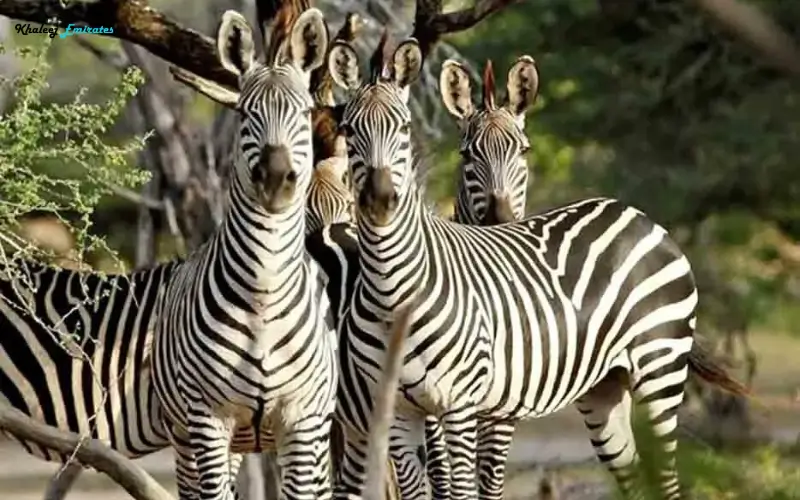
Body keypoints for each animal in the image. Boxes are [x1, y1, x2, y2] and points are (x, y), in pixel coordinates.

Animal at [151, 8, 338, 500]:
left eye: (305, 112)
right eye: (244, 114)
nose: (275, 178)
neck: (263, 293)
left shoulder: (301, 421)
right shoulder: (208, 420)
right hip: (189, 438)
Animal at [326, 37, 749, 500]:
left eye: (403, 129)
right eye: (348, 131)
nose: (381, 200)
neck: (393, 289)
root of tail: (638, 215)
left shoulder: (465, 406)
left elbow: (471, 487)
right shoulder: (401, 410)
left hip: (660, 369)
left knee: (668, 480)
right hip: (605, 388)